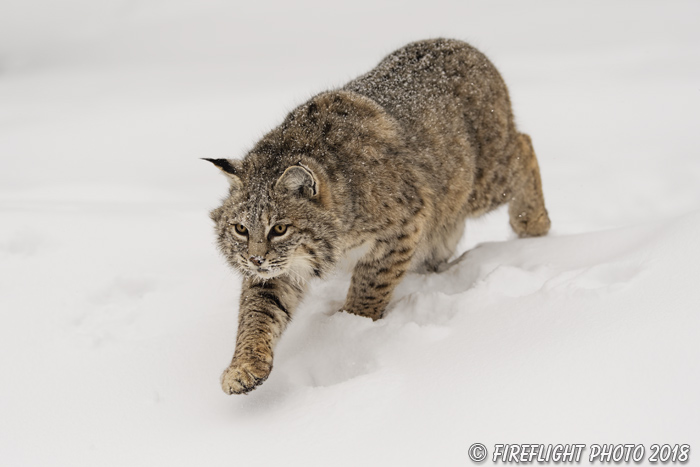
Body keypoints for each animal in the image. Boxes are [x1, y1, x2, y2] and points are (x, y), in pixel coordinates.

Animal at [205, 38, 548, 394]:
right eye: (240, 229)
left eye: (280, 228)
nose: (255, 260)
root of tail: (456, 43)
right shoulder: (279, 269)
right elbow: (257, 312)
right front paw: (243, 367)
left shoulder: (404, 226)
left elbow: (370, 285)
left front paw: (350, 328)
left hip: (480, 185)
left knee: (524, 145)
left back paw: (533, 225)